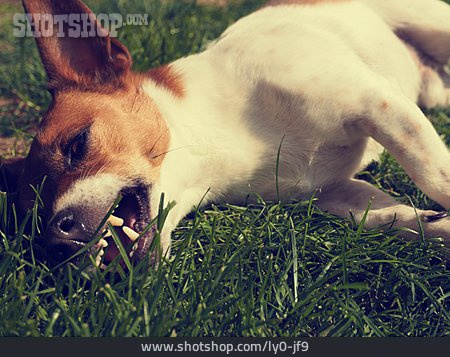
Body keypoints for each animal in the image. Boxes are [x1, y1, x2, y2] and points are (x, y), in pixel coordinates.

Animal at [3, 0, 450, 266]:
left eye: (77, 144)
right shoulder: (334, 192)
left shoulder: (376, 103)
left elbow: (435, 176)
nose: (55, 240)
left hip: (428, 23)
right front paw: (434, 224)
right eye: (33, 213)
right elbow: (386, 215)